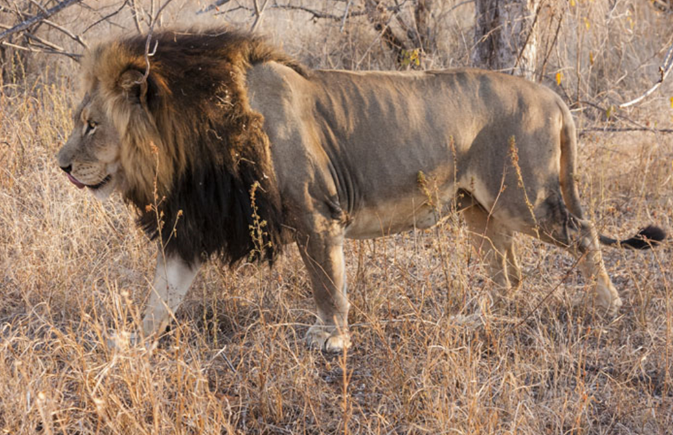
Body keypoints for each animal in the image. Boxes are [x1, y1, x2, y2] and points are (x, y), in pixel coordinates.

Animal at [56, 29, 660, 352]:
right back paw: (477, 320)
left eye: (91, 125)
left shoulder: (316, 215)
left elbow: (328, 286)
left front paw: (333, 339)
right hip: (479, 208)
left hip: (524, 198)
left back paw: (609, 304)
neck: (187, 146)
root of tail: (552, 96)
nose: (61, 165)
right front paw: (132, 345)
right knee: (509, 274)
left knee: (584, 232)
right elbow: (160, 296)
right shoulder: (196, 225)